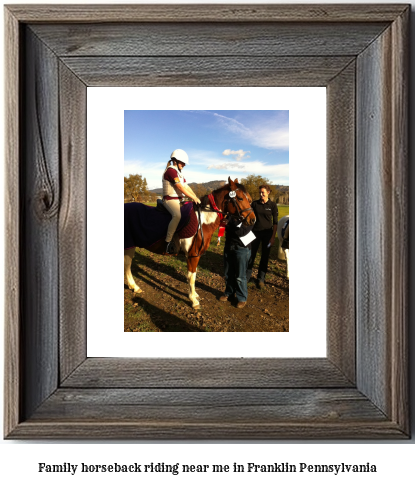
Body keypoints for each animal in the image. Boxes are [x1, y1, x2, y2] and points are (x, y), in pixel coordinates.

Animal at [123, 176, 255, 308]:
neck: (203, 221)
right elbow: (191, 277)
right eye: (240, 198)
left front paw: (195, 295)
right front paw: (193, 300)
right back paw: (134, 286)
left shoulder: (195, 255)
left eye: (249, 198)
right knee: (127, 265)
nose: (253, 220)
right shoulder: (192, 255)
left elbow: (193, 275)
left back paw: (134, 287)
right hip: (129, 246)